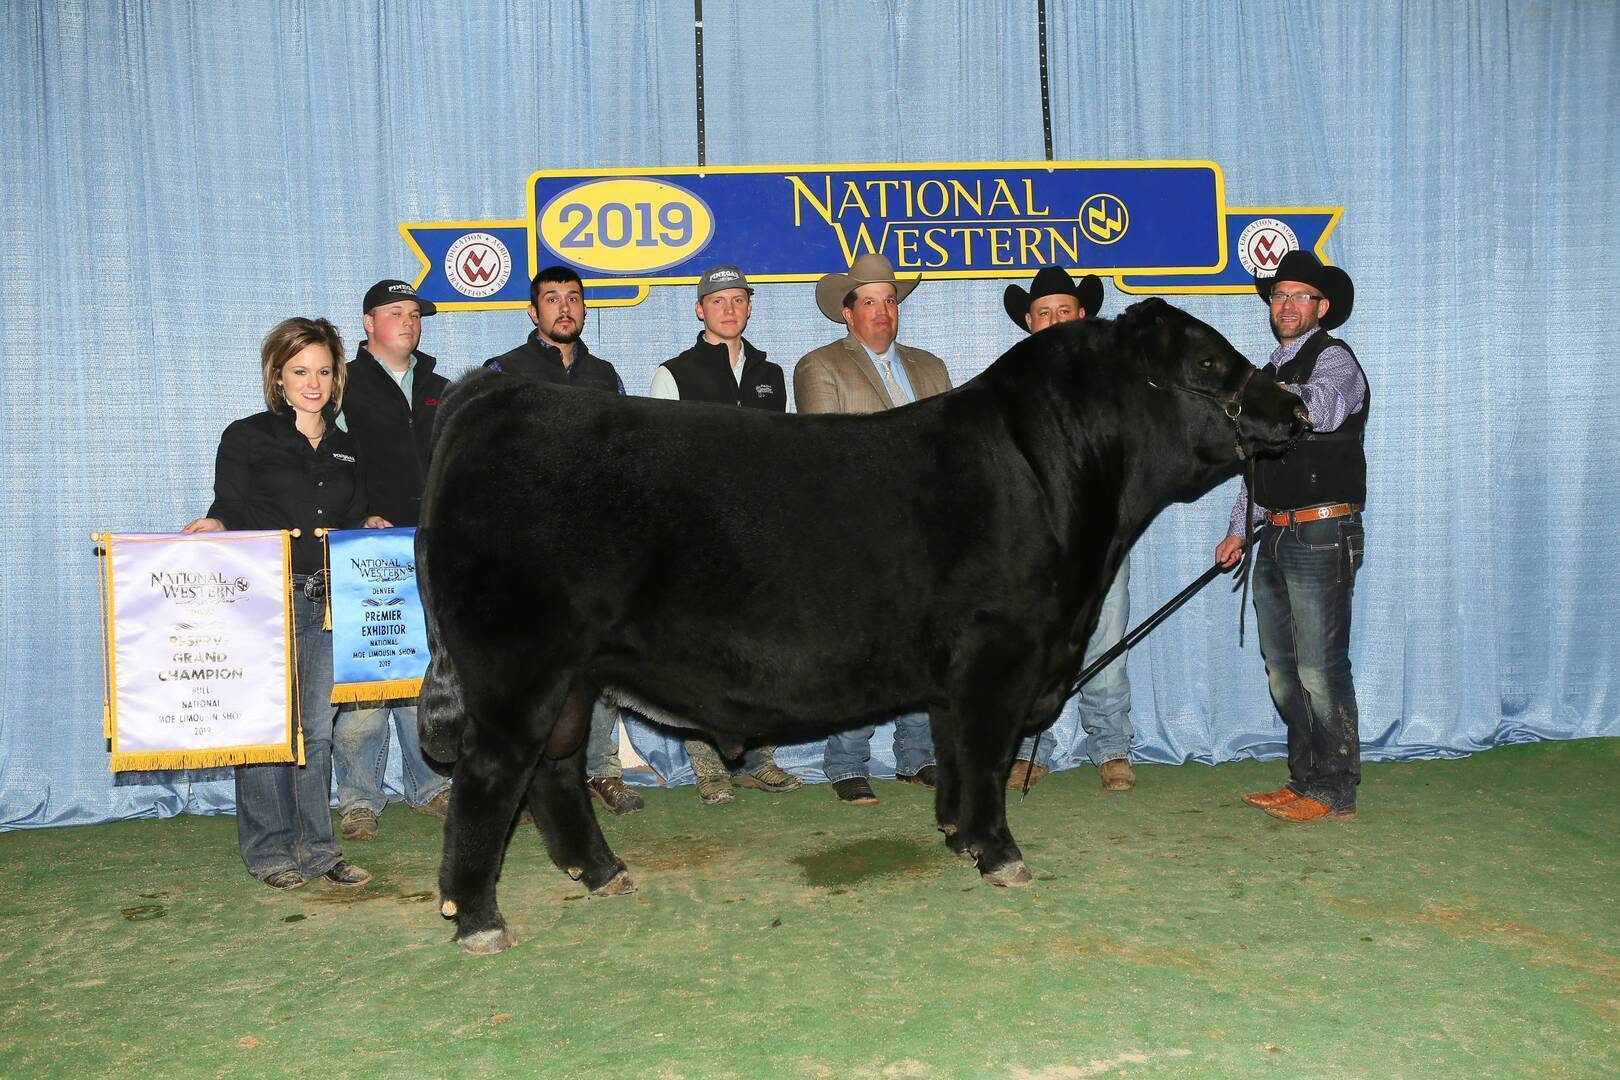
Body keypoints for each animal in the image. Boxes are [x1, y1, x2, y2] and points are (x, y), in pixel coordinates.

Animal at [416, 297, 1306, 953]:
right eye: (1208, 365)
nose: (1296, 406)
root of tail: (500, 395)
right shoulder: (1003, 651)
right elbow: (989, 756)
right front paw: (1002, 855)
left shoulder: (960, 672)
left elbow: (955, 753)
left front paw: (958, 838)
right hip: (516, 665)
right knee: (493, 775)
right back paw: (480, 919)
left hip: (572, 674)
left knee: (554, 770)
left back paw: (603, 873)